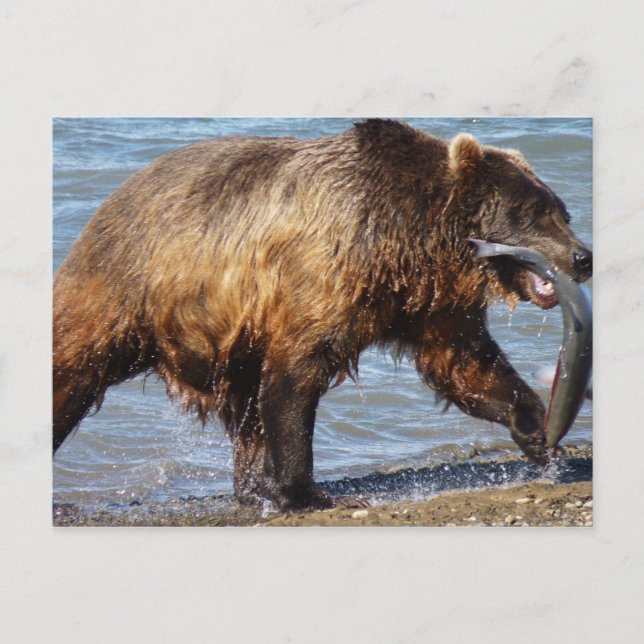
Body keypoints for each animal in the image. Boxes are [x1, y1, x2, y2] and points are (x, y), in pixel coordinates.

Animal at [53, 119, 592, 511]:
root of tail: (111, 200)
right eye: (535, 211)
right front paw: (303, 490)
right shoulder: (322, 271)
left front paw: (539, 431)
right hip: (127, 287)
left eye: (562, 211)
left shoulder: (429, 305)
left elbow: (465, 365)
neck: (410, 244)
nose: (582, 256)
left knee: (245, 410)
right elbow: (297, 375)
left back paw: (249, 487)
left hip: (231, 339)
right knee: (71, 370)